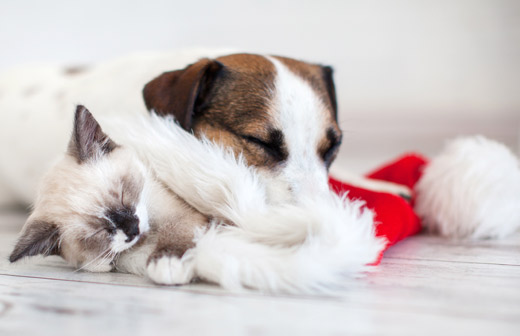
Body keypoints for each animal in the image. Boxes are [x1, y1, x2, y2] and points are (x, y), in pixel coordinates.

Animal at [9, 105, 208, 284]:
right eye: (100, 231)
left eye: (122, 194)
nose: (133, 230)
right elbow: (93, 262)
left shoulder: (179, 214)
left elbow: (175, 232)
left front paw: (168, 264)